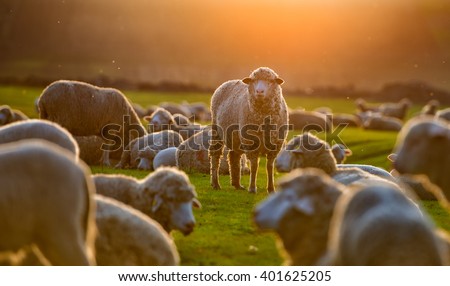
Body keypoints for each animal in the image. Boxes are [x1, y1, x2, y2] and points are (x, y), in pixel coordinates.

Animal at [210, 66, 288, 194]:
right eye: (253, 81)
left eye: (271, 81)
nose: (259, 91)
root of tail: (228, 81)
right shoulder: (251, 143)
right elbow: (254, 166)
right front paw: (252, 188)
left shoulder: (275, 145)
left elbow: (269, 166)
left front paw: (271, 188)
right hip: (216, 129)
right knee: (215, 155)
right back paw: (215, 183)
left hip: (235, 137)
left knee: (233, 155)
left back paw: (237, 184)